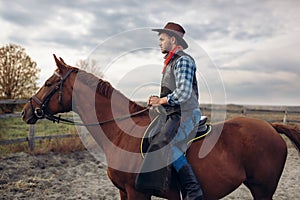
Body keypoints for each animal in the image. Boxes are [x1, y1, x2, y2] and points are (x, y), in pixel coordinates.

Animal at [21, 54, 300, 200]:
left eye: (48, 83)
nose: (26, 111)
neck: (121, 132)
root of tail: (271, 127)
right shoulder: (124, 191)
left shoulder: (137, 192)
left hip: (262, 189)